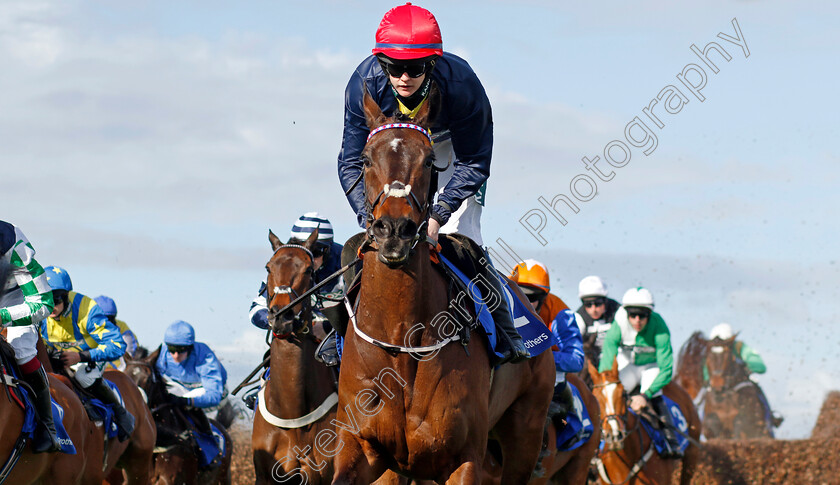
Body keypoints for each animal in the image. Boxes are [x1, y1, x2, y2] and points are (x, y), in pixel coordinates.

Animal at [330, 89, 556, 482]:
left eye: (429, 160)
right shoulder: (361, 446)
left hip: (525, 432)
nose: (394, 230)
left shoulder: (464, 459)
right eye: (366, 159)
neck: (402, 341)